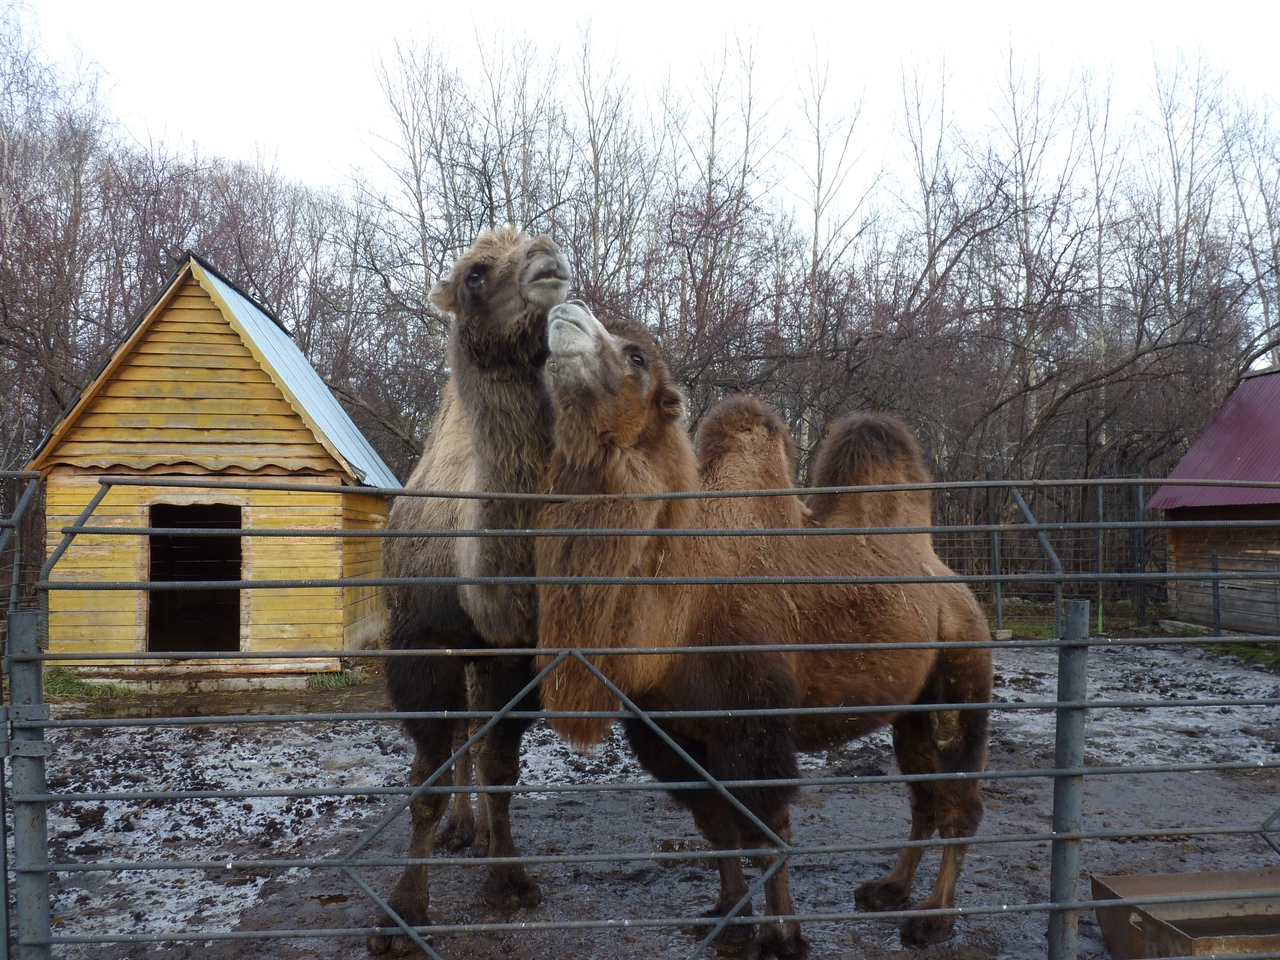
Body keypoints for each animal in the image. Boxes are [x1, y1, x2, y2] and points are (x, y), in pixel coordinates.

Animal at [371, 227, 570, 957]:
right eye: (476, 274)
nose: (549, 259)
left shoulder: (516, 652)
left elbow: (502, 767)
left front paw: (508, 879)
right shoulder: (419, 647)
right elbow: (425, 780)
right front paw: (403, 913)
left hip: (482, 656)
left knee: (476, 735)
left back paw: (479, 832)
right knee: (459, 733)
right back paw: (459, 831)